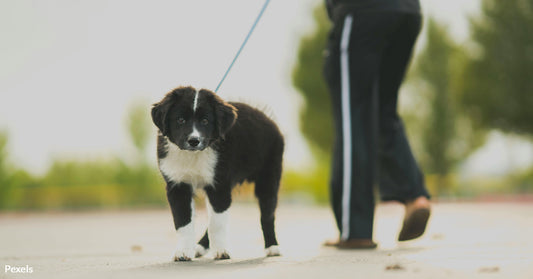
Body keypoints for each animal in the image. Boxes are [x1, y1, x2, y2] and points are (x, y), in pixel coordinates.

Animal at [151, 86, 282, 262]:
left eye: (205, 121)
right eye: (180, 120)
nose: (194, 141)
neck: (193, 156)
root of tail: (267, 118)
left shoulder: (219, 185)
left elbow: (217, 224)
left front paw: (221, 251)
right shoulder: (177, 186)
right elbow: (183, 221)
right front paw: (183, 252)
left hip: (268, 178)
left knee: (267, 215)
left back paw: (272, 247)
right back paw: (199, 247)